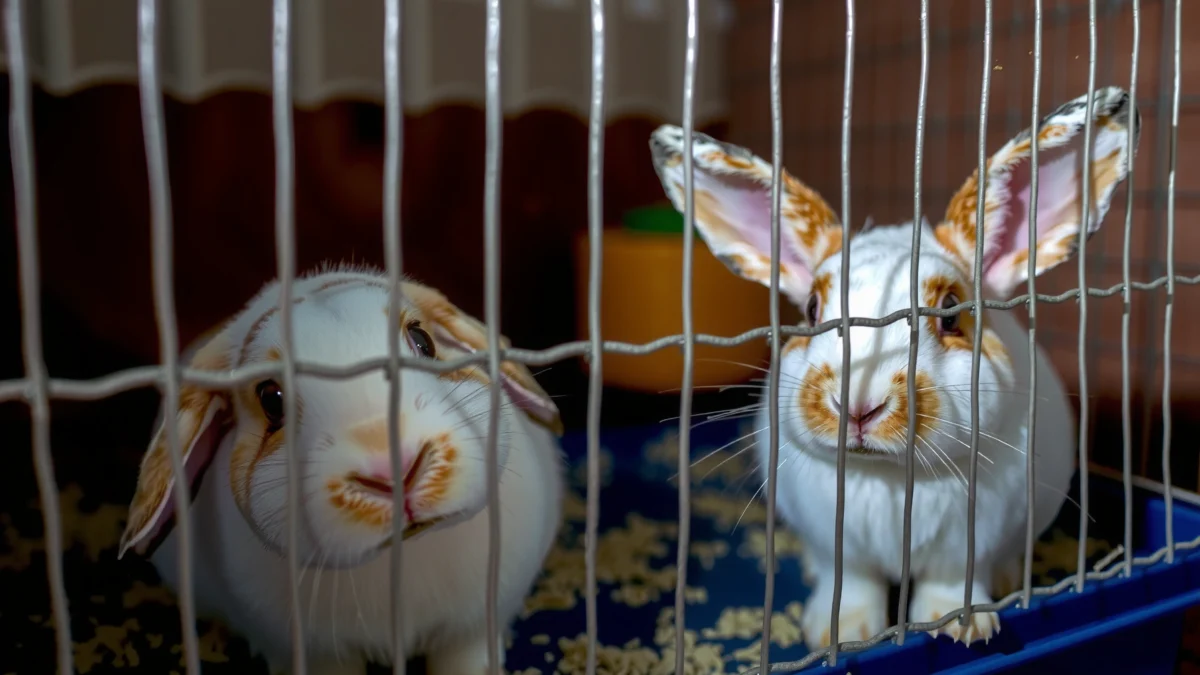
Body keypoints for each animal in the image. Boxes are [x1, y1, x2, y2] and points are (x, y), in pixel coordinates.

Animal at [648, 86, 1139, 650]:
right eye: (811, 311)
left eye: (950, 312)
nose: (859, 406)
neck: (886, 476)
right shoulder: (838, 549)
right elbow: (851, 585)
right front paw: (836, 632)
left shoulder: (968, 546)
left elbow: (950, 585)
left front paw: (962, 627)